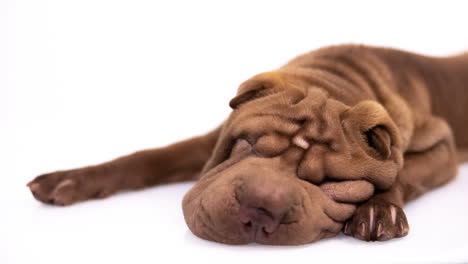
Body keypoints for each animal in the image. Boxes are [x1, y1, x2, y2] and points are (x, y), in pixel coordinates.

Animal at [26, 44, 468, 245]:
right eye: (248, 145)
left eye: (329, 182)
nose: (261, 206)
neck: (335, 80)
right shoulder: (209, 139)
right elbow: (151, 158)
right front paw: (68, 180)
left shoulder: (441, 146)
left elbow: (404, 173)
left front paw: (379, 210)